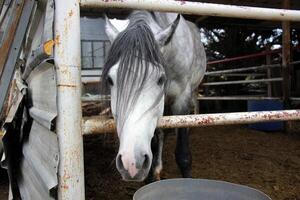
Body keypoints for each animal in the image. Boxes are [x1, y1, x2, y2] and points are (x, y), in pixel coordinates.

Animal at [102, 10, 206, 181]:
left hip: (193, 91)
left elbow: (183, 155)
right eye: (110, 80)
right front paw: (152, 175)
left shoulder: (181, 100)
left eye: (160, 79)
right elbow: (155, 141)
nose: (131, 163)